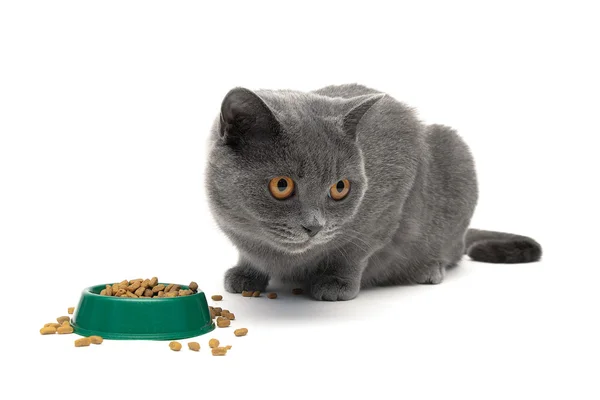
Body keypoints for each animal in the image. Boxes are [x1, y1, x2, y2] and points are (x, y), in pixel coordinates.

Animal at [204, 85, 540, 304]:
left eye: (340, 188)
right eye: (281, 185)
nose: (314, 226)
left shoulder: (392, 197)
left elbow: (355, 250)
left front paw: (336, 283)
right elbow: (248, 252)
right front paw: (246, 275)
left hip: (455, 150)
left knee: (452, 251)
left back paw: (428, 268)